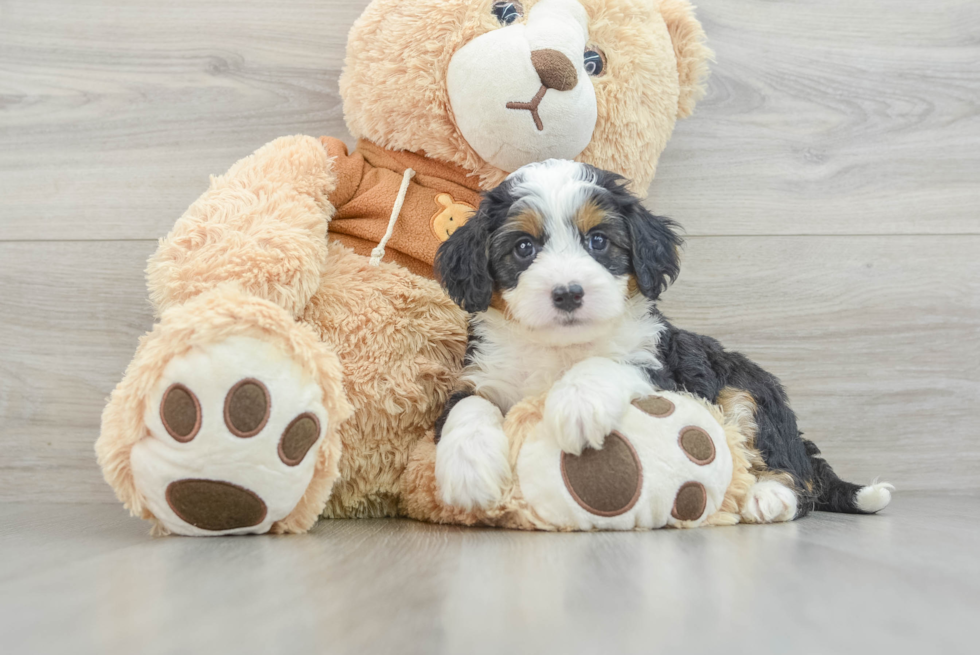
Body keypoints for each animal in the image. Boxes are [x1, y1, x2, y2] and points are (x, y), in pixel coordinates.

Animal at [432, 159, 892, 524]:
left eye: (598, 241)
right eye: (524, 247)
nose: (568, 293)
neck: (560, 348)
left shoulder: (660, 370)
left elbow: (607, 363)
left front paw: (577, 404)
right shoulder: (483, 375)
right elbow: (468, 407)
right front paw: (467, 469)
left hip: (748, 391)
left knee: (793, 472)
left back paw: (769, 495)